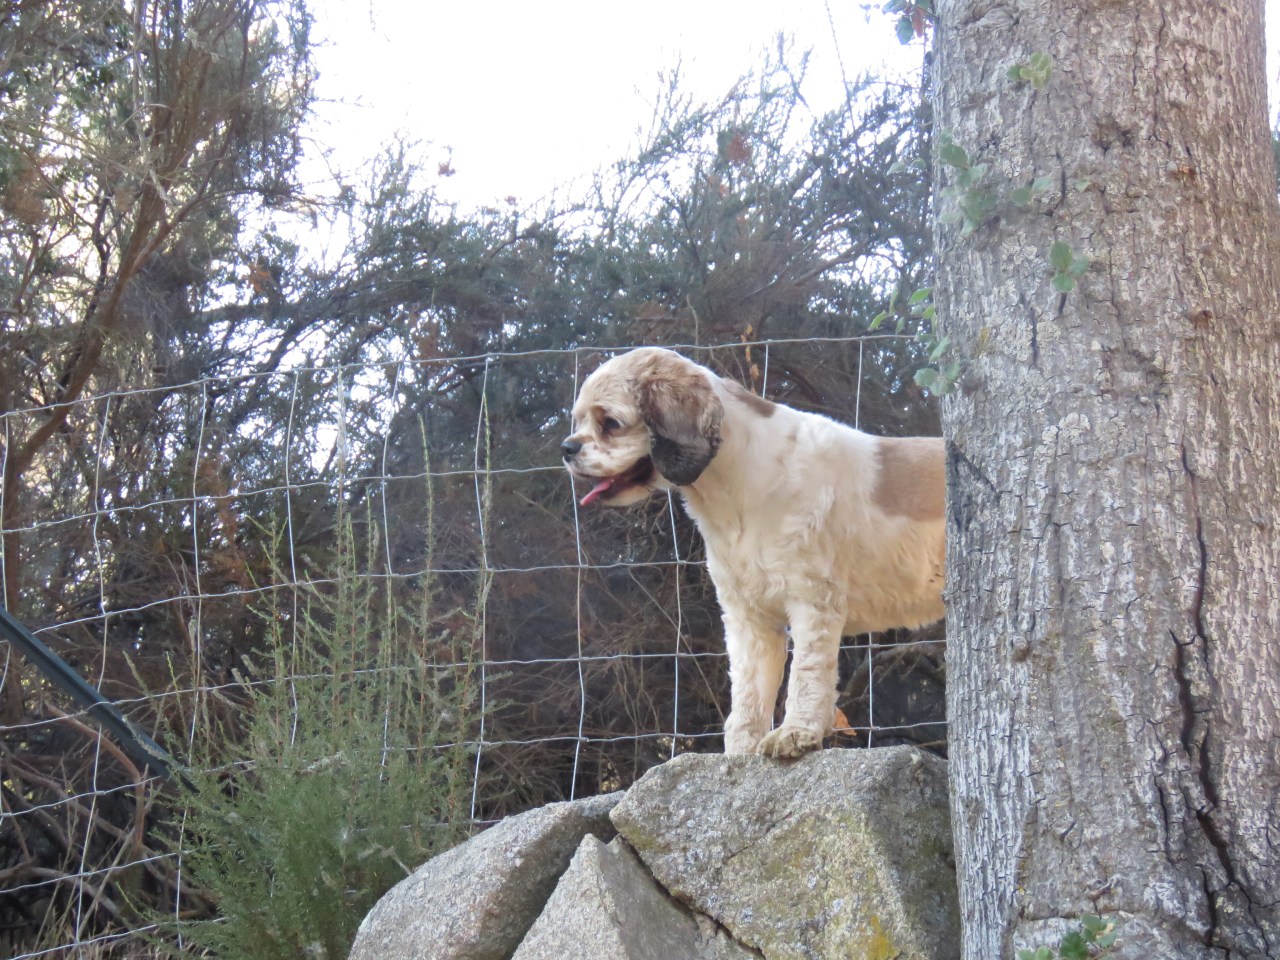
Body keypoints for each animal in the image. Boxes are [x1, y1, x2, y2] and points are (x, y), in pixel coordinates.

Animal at [561, 347, 945, 758]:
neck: (737, 488)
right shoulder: (749, 616)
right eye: (578, 420)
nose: (566, 448)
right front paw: (740, 752)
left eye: (611, 422)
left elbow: (806, 674)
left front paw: (795, 733)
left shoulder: (813, 599)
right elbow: (748, 690)